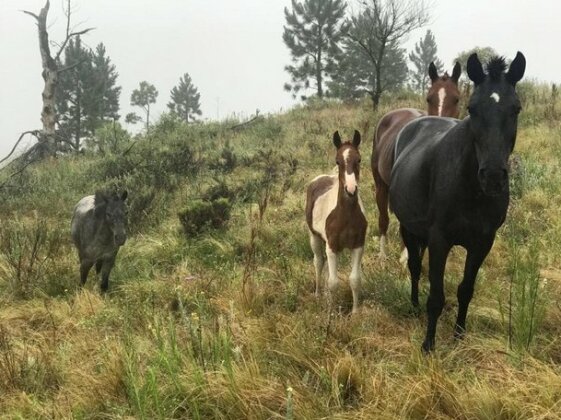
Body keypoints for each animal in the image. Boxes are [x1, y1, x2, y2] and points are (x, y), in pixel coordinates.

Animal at [306, 130, 368, 312]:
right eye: (338, 161)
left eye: (358, 159)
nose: (351, 190)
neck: (345, 215)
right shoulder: (332, 246)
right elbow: (333, 283)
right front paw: (331, 313)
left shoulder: (358, 245)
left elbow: (355, 280)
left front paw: (355, 312)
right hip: (314, 237)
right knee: (319, 262)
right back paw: (318, 293)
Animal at [390, 53, 524, 354]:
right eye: (472, 109)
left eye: (516, 109)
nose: (493, 176)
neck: (471, 190)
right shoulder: (440, 239)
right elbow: (436, 296)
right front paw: (428, 345)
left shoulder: (483, 242)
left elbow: (466, 290)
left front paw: (459, 335)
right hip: (408, 227)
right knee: (414, 266)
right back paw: (413, 305)